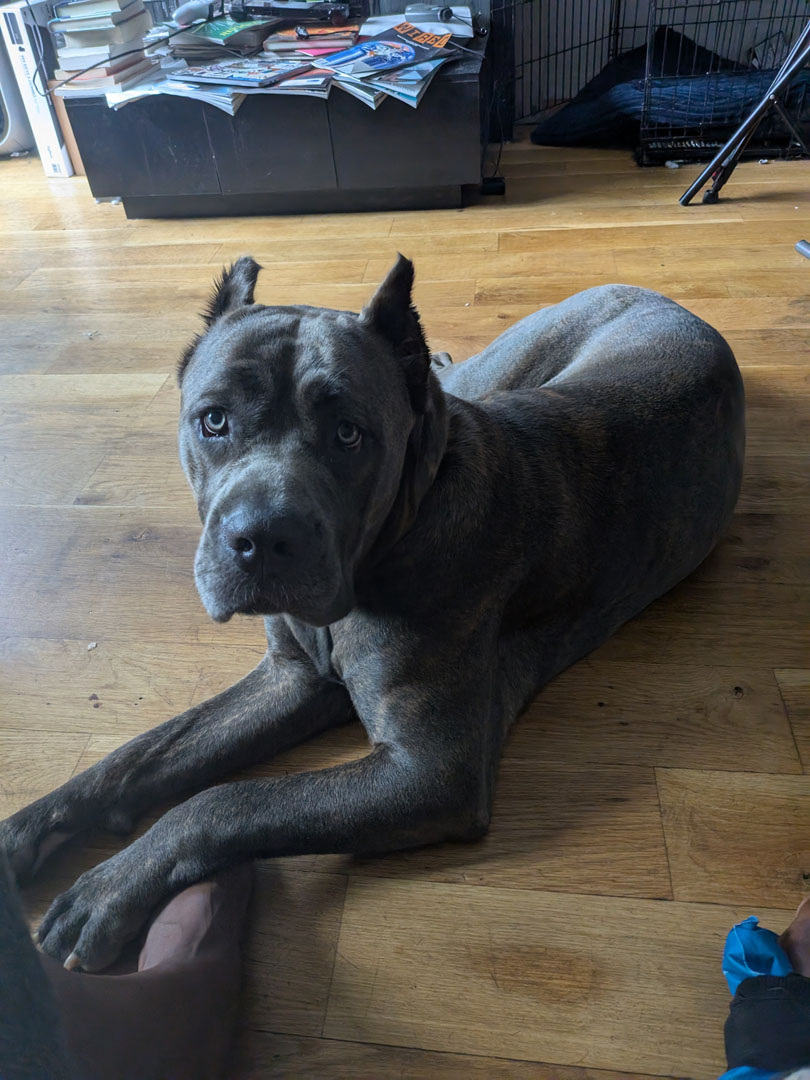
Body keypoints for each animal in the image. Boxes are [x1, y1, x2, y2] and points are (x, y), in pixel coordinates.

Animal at [0, 254, 747, 972]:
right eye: (213, 420)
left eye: (348, 435)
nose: (261, 538)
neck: (392, 541)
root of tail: (663, 298)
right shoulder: (291, 678)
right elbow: (134, 755)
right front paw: (21, 831)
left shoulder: (430, 771)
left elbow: (227, 800)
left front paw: (110, 888)